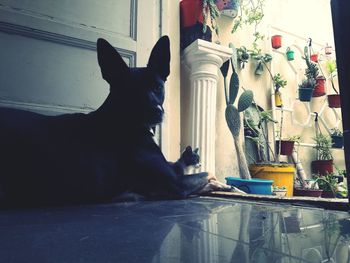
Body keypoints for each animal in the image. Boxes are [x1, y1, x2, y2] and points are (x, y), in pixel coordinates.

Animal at [0, 36, 208, 207]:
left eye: (158, 87)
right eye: (129, 90)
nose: (156, 112)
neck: (121, 120)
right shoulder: (176, 183)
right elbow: (205, 175)